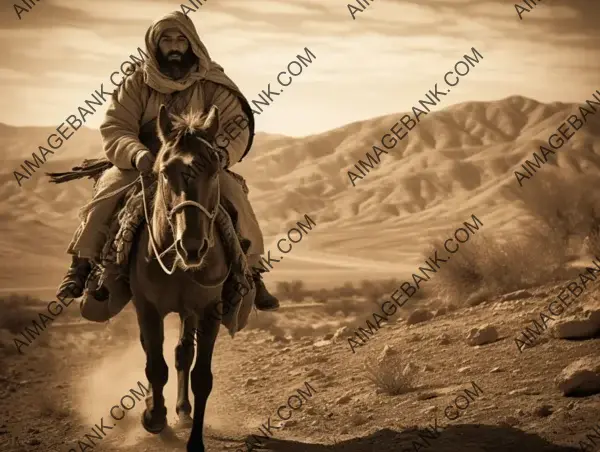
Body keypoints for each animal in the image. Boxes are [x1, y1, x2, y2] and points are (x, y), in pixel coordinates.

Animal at [131, 104, 251, 450]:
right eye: (164, 170)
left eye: (214, 169)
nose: (193, 246)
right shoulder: (147, 308)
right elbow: (155, 367)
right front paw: (154, 417)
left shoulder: (209, 311)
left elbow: (201, 377)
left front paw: (195, 441)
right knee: (157, 352)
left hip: (189, 312)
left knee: (183, 353)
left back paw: (183, 411)